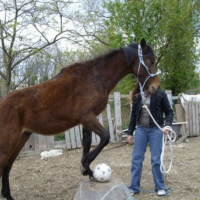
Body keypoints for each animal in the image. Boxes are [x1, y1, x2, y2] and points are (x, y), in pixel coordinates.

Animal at [0, 38, 159, 199]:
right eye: (151, 61)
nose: (155, 87)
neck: (93, 78)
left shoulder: (86, 121)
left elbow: (87, 144)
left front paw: (88, 170)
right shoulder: (88, 117)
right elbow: (105, 137)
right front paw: (85, 166)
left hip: (21, 138)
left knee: (7, 167)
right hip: (8, 143)